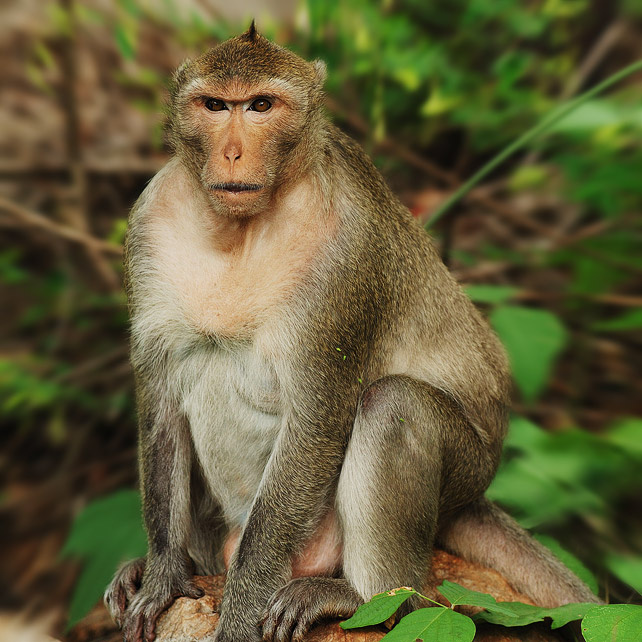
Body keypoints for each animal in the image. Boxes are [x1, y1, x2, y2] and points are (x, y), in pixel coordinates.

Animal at [104, 23, 598, 642]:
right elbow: (162, 402)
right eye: (215, 106)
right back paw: (163, 565)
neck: (241, 231)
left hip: (465, 471)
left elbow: (317, 421)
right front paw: (164, 574)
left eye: (261, 106)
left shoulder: (345, 255)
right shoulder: (149, 221)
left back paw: (365, 595)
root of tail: (476, 492)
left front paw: (239, 613)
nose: (233, 151)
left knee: (393, 406)